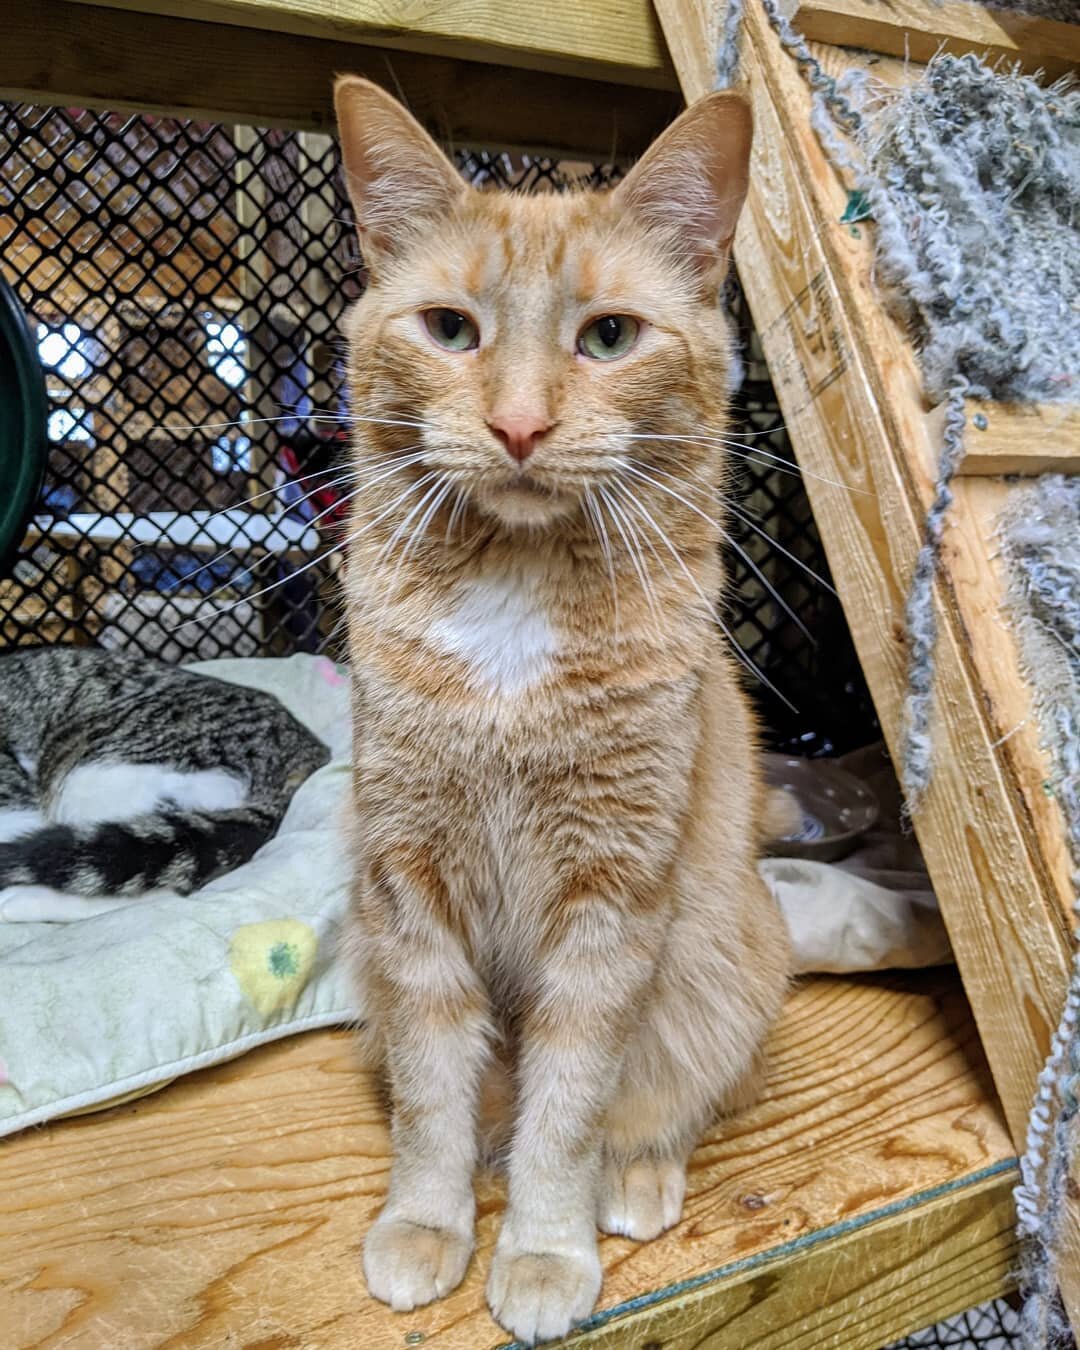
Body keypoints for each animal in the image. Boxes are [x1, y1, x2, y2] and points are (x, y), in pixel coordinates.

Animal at [337, 78, 793, 1344]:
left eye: (609, 338)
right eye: (451, 330)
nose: (521, 428)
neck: (516, 591)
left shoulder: (610, 906)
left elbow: (570, 1105)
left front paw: (544, 1247)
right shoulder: (408, 889)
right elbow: (434, 1098)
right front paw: (426, 1223)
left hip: (726, 966)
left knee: (669, 1102)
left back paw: (634, 1183)